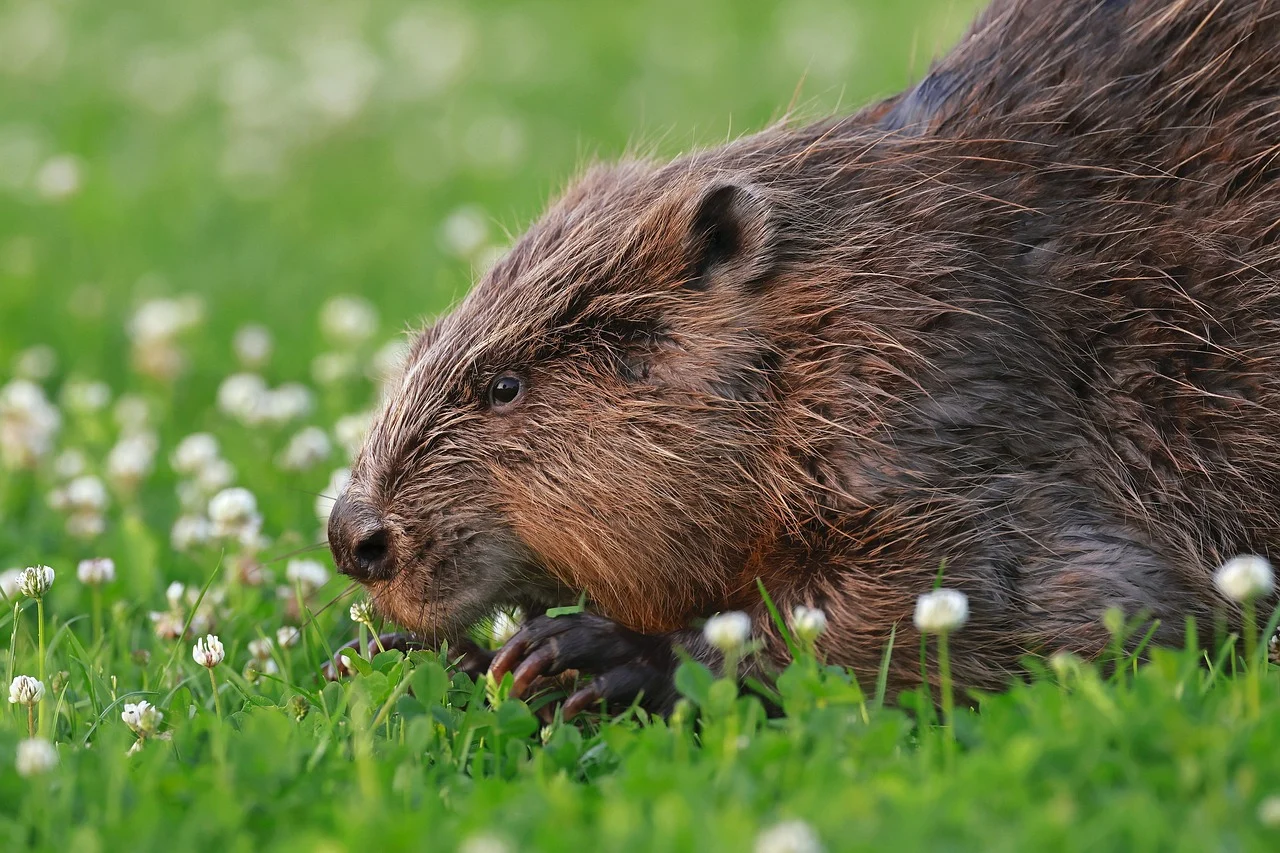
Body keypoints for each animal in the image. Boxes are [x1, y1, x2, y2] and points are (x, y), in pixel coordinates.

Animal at [325, 0, 1280, 712]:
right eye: (420, 344)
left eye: (504, 384)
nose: (353, 536)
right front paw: (394, 647)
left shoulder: (951, 404)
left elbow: (1077, 600)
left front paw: (599, 650)